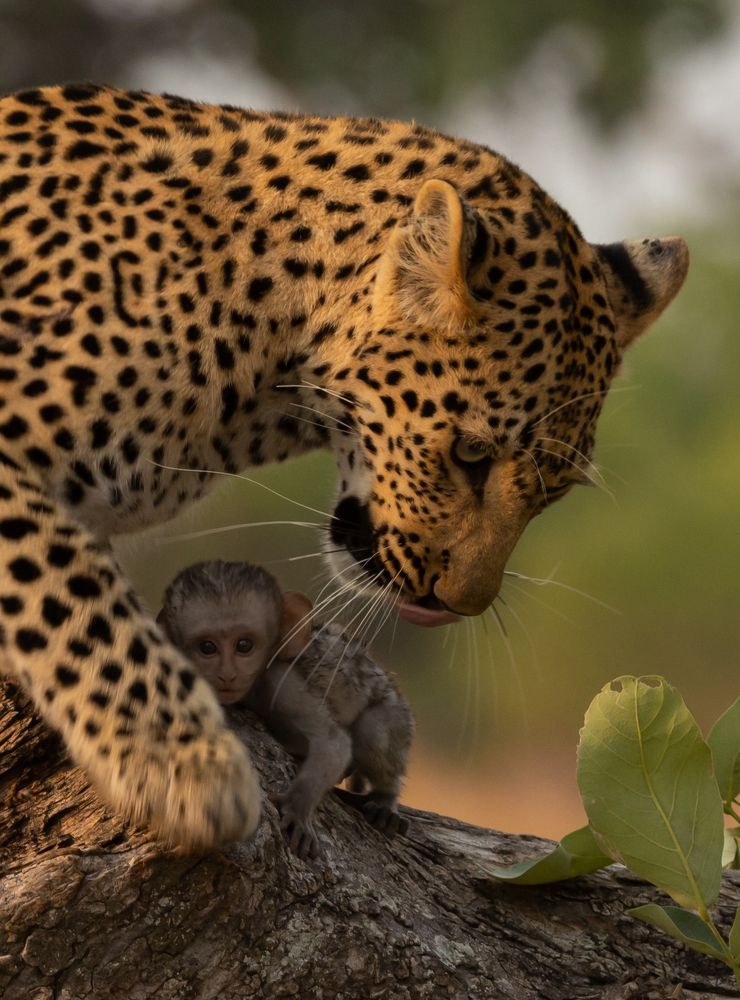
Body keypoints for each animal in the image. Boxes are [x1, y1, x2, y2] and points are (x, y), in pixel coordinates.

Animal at [158, 560, 415, 859]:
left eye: (244, 645)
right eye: (207, 647)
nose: (227, 675)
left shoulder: (282, 682)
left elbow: (332, 743)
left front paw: (297, 810)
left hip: (395, 712)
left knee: (373, 731)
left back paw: (385, 799)